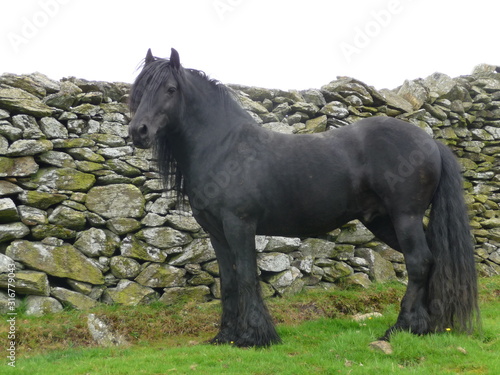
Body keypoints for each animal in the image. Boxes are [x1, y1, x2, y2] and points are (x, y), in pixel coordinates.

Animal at [129, 48, 480, 348]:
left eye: (170, 89)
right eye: (140, 89)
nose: (138, 131)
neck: (224, 148)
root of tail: (431, 142)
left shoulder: (239, 225)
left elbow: (246, 277)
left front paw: (255, 337)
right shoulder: (216, 231)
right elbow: (228, 281)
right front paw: (225, 336)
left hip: (404, 217)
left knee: (419, 262)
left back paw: (400, 328)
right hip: (383, 221)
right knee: (430, 260)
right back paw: (424, 326)